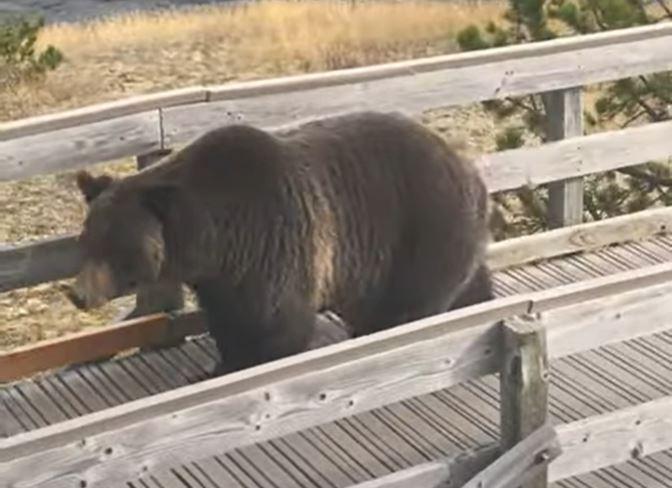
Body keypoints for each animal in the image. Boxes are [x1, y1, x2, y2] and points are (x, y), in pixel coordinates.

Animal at [66, 110, 493, 376]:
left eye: (114, 245)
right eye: (87, 239)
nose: (78, 294)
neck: (214, 241)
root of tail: (469, 168)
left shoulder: (274, 242)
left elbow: (280, 326)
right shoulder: (223, 279)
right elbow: (228, 324)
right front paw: (220, 365)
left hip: (424, 227)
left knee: (407, 305)